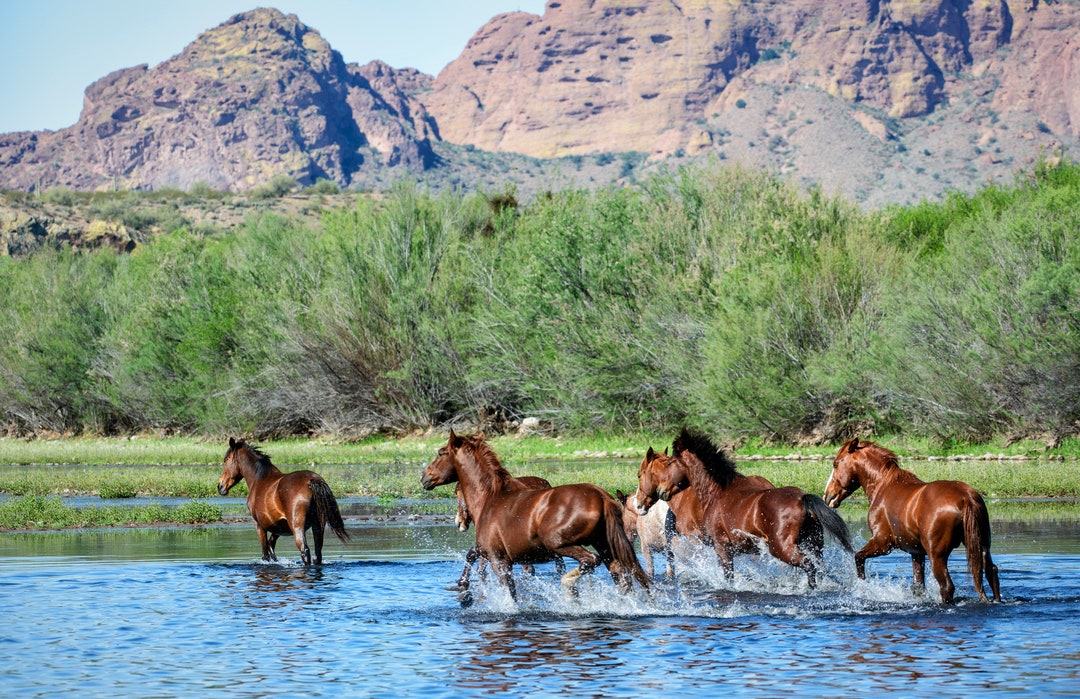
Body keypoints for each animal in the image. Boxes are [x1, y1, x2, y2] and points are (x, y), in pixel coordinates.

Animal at [218, 437, 349, 566]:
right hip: (317, 525)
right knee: (317, 554)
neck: (259, 479)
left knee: (305, 551)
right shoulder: (279, 526)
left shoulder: (259, 525)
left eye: (226, 460)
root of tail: (312, 480)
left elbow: (265, 553)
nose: (220, 486)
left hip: (297, 527)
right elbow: (271, 545)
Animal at [421, 430, 649, 602]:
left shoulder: (499, 560)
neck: (490, 498)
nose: (424, 477)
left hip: (558, 543)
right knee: (621, 575)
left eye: (441, 453)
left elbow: (510, 594)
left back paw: (570, 589)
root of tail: (601, 497)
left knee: (590, 561)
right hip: (604, 544)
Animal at [636, 430, 852, 587]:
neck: (717, 492)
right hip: (815, 545)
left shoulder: (721, 547)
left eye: (672, 463)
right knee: (818, 567)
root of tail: (802, 498)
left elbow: (727, 576)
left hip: (782, 548)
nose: (662, 492)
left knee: (809, 567)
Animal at [825, 438, 1002, 604]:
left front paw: (863, 587)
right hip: (982, 547)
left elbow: (858, 557)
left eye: (836, 464)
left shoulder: (883, 543)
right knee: (991, 572)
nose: (828, 496)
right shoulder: (916, 552)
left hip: (937, 556)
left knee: (947, 587)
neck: (882, 485)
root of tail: (966, 498)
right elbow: (918, 586)